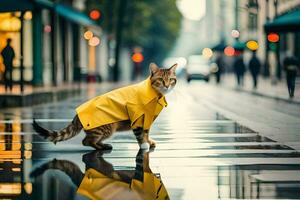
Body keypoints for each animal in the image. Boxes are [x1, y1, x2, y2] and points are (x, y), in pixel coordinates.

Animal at [32, 63, 178, 150]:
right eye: (160, 80)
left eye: (171, 80)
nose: (166, 86)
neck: (155, 95)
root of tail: (78, 115)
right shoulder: (137, 119)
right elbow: (141, 134)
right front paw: (144, 145)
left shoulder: (147, 119)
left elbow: (146, 132)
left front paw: (149, 141)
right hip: (108, 127)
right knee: (86, 141)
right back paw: (101, 146)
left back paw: (103, 144)